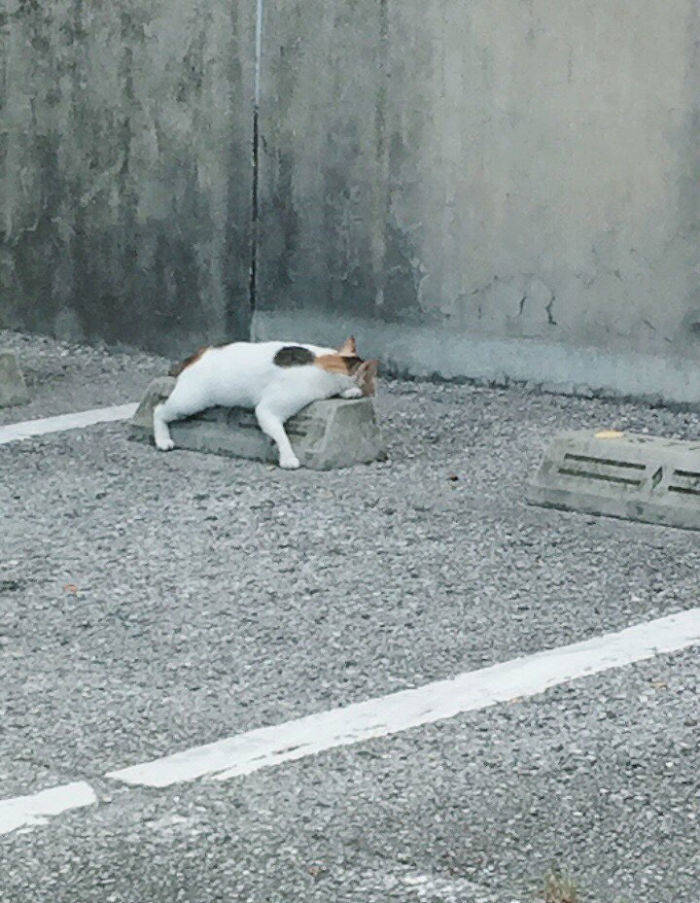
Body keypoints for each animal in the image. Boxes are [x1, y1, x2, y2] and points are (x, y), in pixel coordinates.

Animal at [153, 336, 378, 470]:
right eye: (372, 382)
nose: (375, 392)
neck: (328, 360)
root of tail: (199, 354)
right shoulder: (269, 410)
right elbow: (281, 434)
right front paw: (288, 457)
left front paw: (350, 391)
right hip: (190, 400)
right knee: (159, 410)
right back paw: (162, 439)